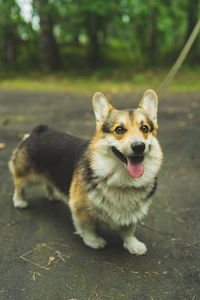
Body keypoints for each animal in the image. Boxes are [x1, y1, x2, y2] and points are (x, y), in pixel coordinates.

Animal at [8, 89, 163, 255]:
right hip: (25, 174)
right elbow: (87, 227)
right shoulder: (81, 209)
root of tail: (40, 129)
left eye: (145, 128)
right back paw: (20, 201)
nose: (139, 146)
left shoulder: (132, 213)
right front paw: (93, 241)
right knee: (19, 184)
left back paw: (53, 195)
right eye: (119, 129)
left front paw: (133, 245)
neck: (121, 179)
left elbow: (128, 230)